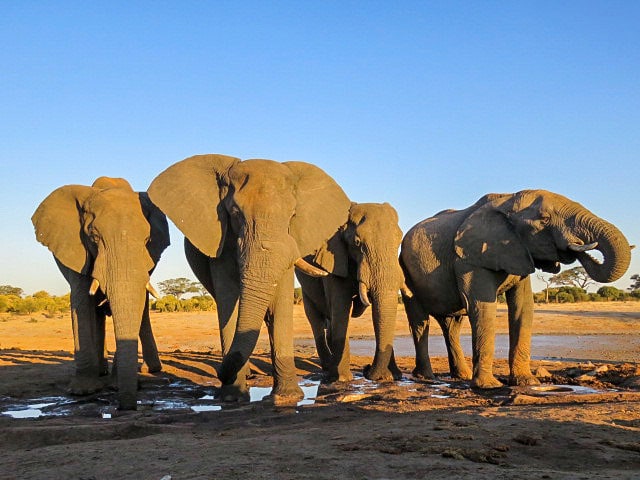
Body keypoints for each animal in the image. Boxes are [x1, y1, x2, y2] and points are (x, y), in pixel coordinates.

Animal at [32, 176, 170, 409]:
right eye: (94, 237)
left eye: (147, 240)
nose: (126, 407)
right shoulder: (76, 249)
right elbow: (81, 303)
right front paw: (82, 391)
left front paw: (116, 386)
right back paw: (100, 372)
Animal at [148, 154, 352, 404]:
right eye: (235, 213)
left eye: (292, 215)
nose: (220, 374)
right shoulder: (223, 243)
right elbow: (229, 302)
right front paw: (232, 396)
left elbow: (279, 305)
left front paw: (287, 397)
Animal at [296, 202, 405, 383]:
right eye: (357, 242)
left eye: (399, 240)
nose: (367, 370)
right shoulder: (334, 260)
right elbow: (341, 308)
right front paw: (342, 379)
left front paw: (393, 376)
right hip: (306, 287)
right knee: (315, 318)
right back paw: (328, 367)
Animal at [400, 190, 631, 389]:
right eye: (544, 219)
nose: (579, 246)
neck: (507, 200)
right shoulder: (468, 259)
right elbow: (482, 307)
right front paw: (489, 387)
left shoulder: (519, 252)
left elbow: (523, 308)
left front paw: (527, 382)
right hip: (406, 269)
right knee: (420, 321)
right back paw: (426, 377)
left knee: (452, 325)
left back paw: (461, 376)